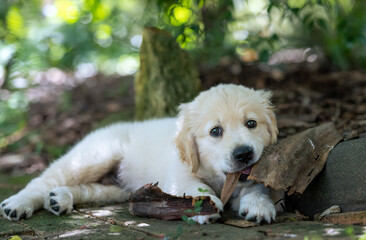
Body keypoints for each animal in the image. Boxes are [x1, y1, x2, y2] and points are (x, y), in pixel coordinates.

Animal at [0, 83, 278, 224]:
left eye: (251, 124)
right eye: (215, 131)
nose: (244, 154)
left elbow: (257, 185)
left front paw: (258, 204)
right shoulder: (178, 176)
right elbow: (197, 187)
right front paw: (205, 206)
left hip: (118, 188)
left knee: (88, 189)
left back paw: (59, 199)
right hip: (93, 157)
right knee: (42, 180)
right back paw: (18, 204)